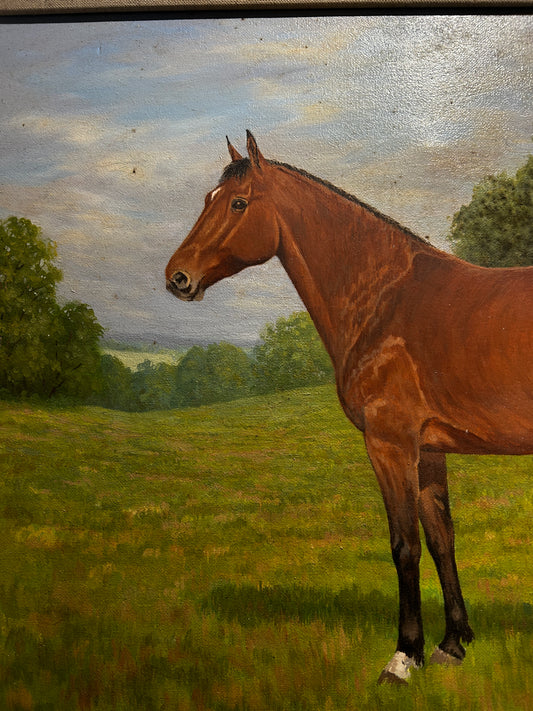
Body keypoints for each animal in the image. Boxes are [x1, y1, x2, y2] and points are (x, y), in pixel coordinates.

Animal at [166, 131, 533, 684]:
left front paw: (403, 658)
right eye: (208, 198)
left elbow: (405, 547)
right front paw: (452, 644)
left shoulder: (390, 444)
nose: (177, 277)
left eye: (237, 203)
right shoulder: (429, 449)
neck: (385, 299)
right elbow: (441, 538)